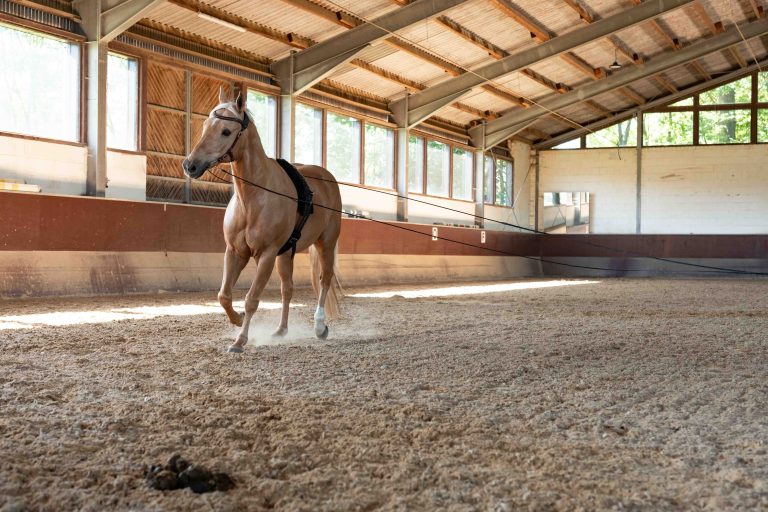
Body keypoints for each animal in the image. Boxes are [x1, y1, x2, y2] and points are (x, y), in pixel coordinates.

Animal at [182, 87, 342, 353]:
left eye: (226, 131)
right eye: (206, 125)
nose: (190, 165)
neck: (253, 198)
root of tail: (327, 177)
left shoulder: (266, 255)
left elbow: (252, 299)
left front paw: (240, 341)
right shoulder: (235, 252)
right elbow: (224, 295)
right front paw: (237, 320)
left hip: (325, 245)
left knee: (324, 280)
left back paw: (320, 327)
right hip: (286, 255)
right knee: (287, 289)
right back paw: (281, 330)